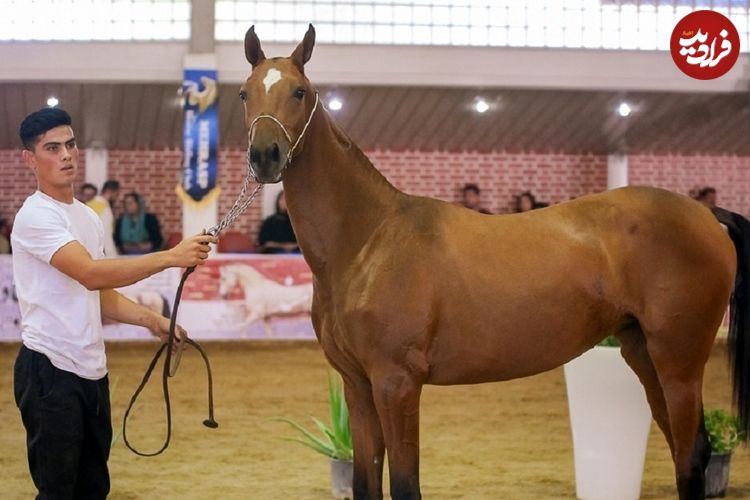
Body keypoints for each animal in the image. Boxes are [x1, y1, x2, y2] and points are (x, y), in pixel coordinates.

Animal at [241, 25, 750, 498]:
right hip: (643, 353)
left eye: (299, 92)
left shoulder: (396, 383)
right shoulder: (359, 386)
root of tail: (705, 213)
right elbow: (366, 483)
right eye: (246, 92)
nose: (265, 155)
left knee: (691, 453)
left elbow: (405, 485)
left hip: (679, 359)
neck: (368, 241)